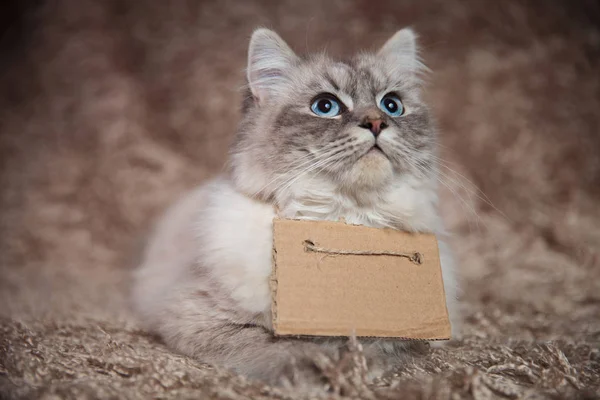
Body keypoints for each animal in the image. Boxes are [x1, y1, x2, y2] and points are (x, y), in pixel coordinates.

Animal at [131, 28, 460, 388]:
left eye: (392, 105)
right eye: (326, 106)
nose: (376, 123)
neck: (345, 217)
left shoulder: (419, 333)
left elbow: (384, 344)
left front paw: (357, 366)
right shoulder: (197, 316)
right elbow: (271, 344)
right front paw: (318, 370)